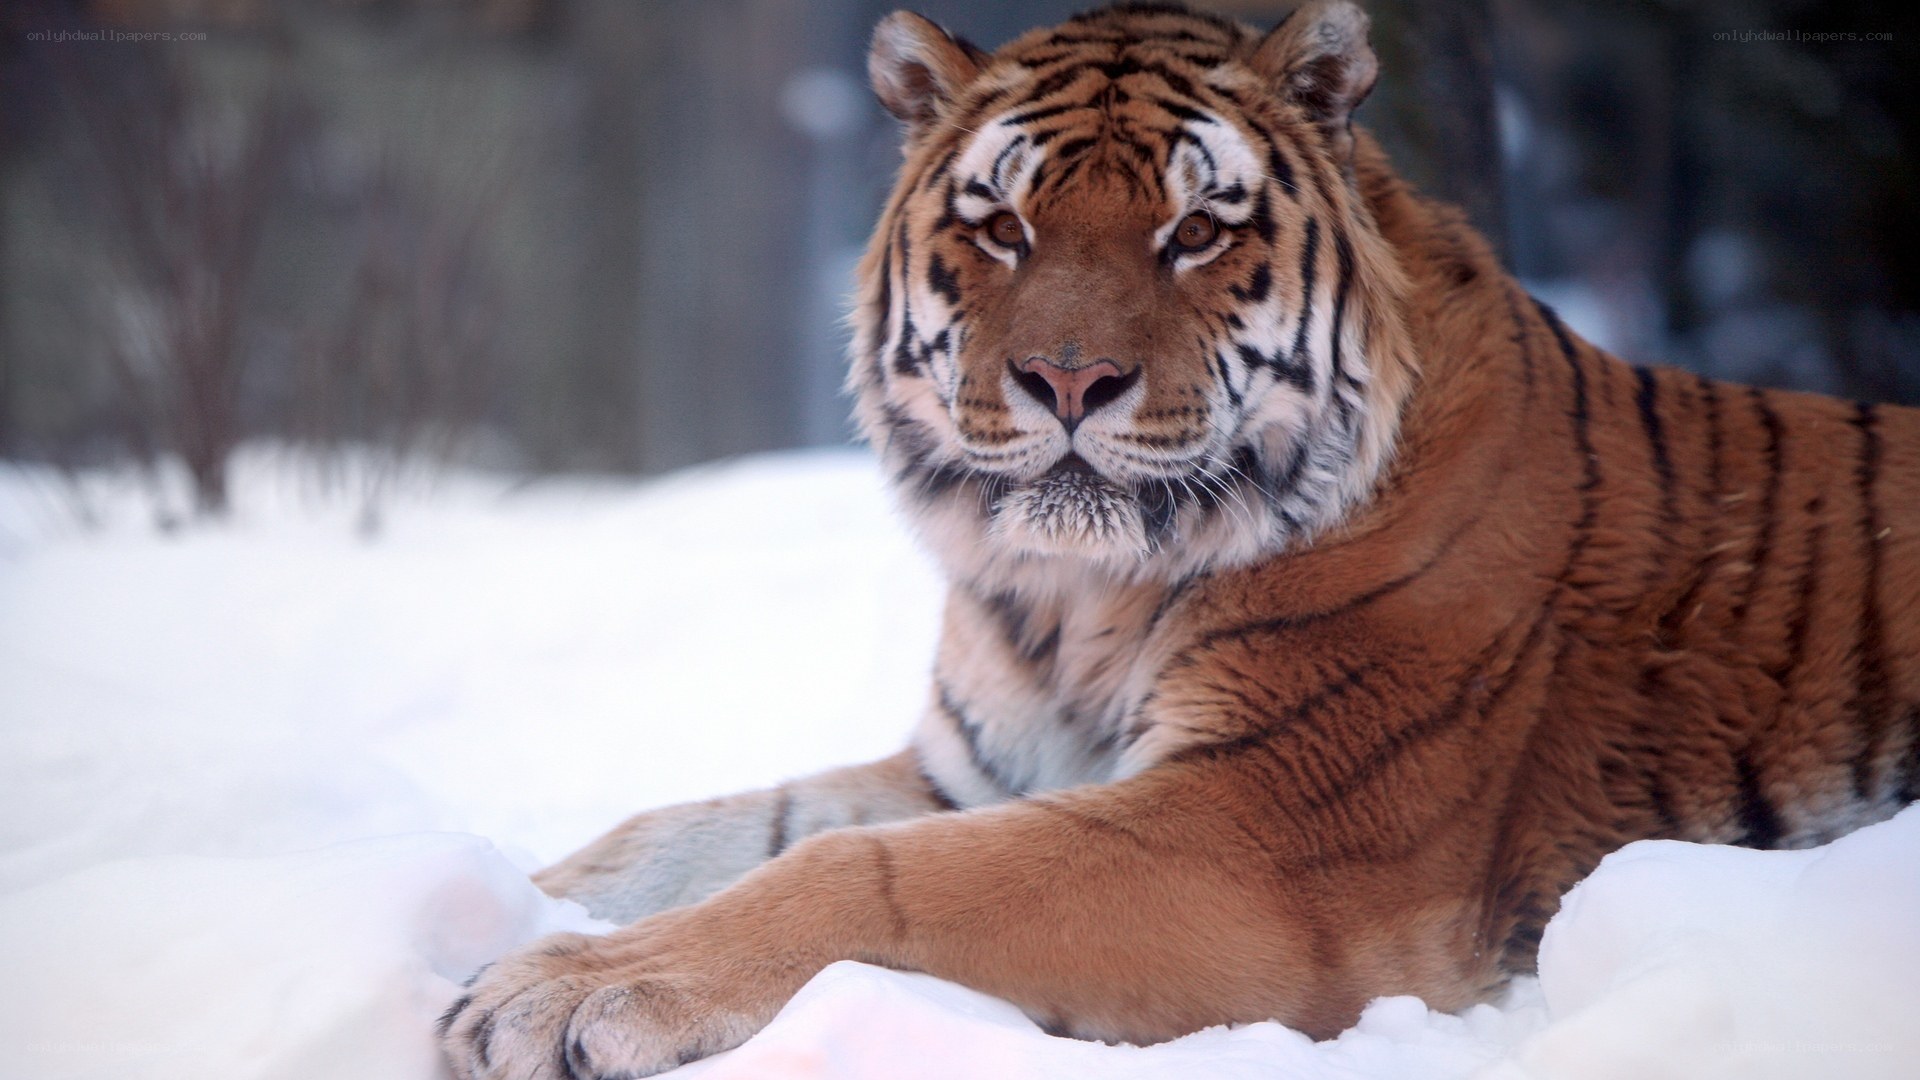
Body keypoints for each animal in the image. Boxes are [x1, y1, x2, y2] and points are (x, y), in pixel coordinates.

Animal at [440, 2, 1920, 1076]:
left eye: (1197, 229)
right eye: (1001, 222)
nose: (1069, 381)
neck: (1071, 601)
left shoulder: (1262, 830)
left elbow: (864, 878)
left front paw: (555, 994)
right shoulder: (975, 771)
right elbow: (683, 834)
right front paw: (508, 909)